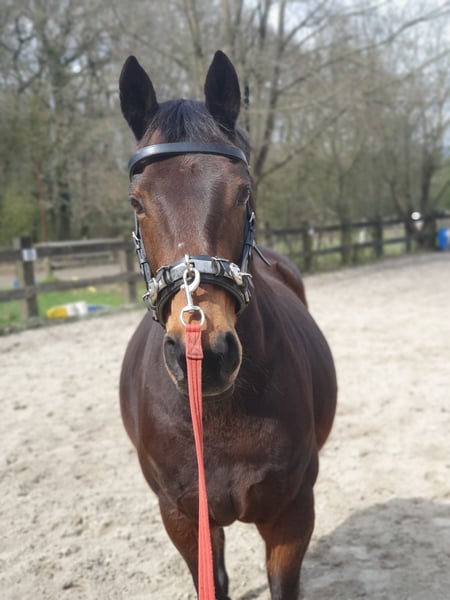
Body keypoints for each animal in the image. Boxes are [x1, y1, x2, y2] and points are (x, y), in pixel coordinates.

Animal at [119, 50, 337, 600]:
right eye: (136, 201)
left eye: (243, 193)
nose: (206, 352)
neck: (219, 413)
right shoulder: (183, 518)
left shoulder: (291, 514)